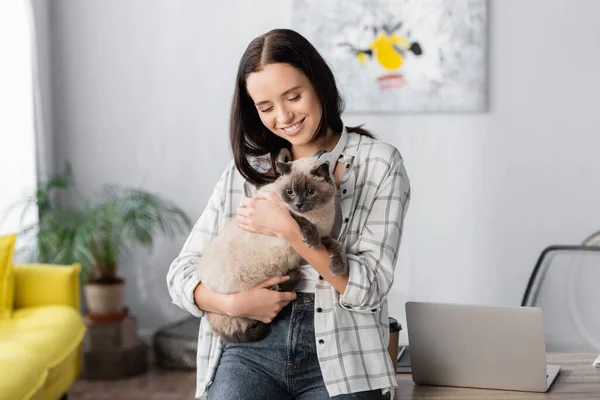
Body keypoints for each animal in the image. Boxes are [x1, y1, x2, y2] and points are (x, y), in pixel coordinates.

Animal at [197, 158, 346, 342]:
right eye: (290, 192)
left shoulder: (321, 239)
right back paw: (287, 281)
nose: (298, 204)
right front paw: (310, 235)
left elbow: (336, 245)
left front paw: (338, 268)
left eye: (310, 192)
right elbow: (296, 218)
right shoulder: (286, 214)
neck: (319, 217)